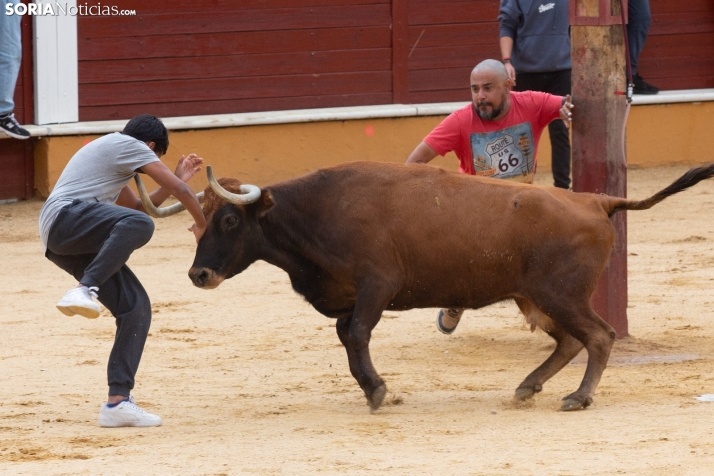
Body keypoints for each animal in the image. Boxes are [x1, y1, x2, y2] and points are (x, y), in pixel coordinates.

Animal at [184, 161, 712, 412]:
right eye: (199, 223)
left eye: (229, 220)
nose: (198, 275)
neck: (316, 212)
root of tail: (596, 200)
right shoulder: (348, 298)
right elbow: (347, 339)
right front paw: (373, 387)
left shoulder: (377, 286)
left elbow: (357, 335)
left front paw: (378, 391)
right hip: (535, 298)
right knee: (568, 342)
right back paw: (527, 387)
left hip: (561, 295)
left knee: (598, 336)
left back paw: (578, 398)